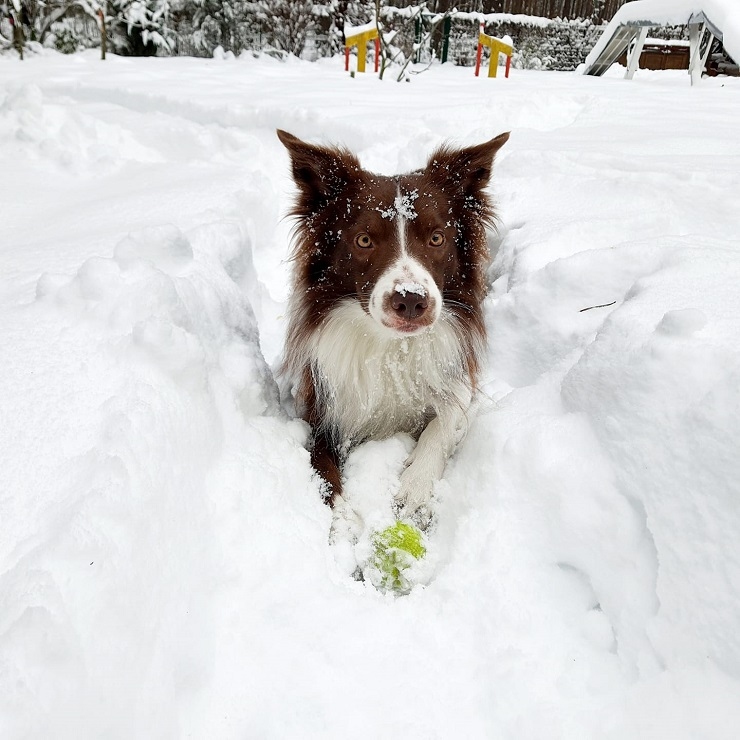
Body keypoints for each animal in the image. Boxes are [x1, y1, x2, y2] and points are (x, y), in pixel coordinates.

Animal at [278, 130, 508, 524]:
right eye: (364, 240)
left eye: (436, 238)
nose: (411, 300)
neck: (390, 348)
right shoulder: (320, 407)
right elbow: (322, 468)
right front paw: (344, 525)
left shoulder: (461, 376)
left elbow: (446, 417)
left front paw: (415, 487)